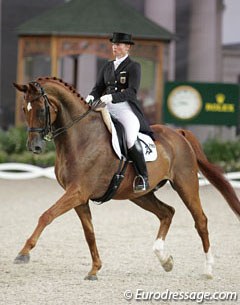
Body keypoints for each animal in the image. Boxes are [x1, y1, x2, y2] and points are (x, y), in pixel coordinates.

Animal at [13, 77, 240, 280]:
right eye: (24, 109)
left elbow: (47, 215)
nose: (34, 147)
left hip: (186, 184)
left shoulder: (77, 192)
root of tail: (178, 132)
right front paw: (95, 270)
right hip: (140, 194)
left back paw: (208, 270)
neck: (80, 137)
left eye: (41, 110)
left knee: (200, 220)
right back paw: (165, 260)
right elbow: (89, 233)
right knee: (167, 212)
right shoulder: (79, 197)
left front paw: (23, 253)